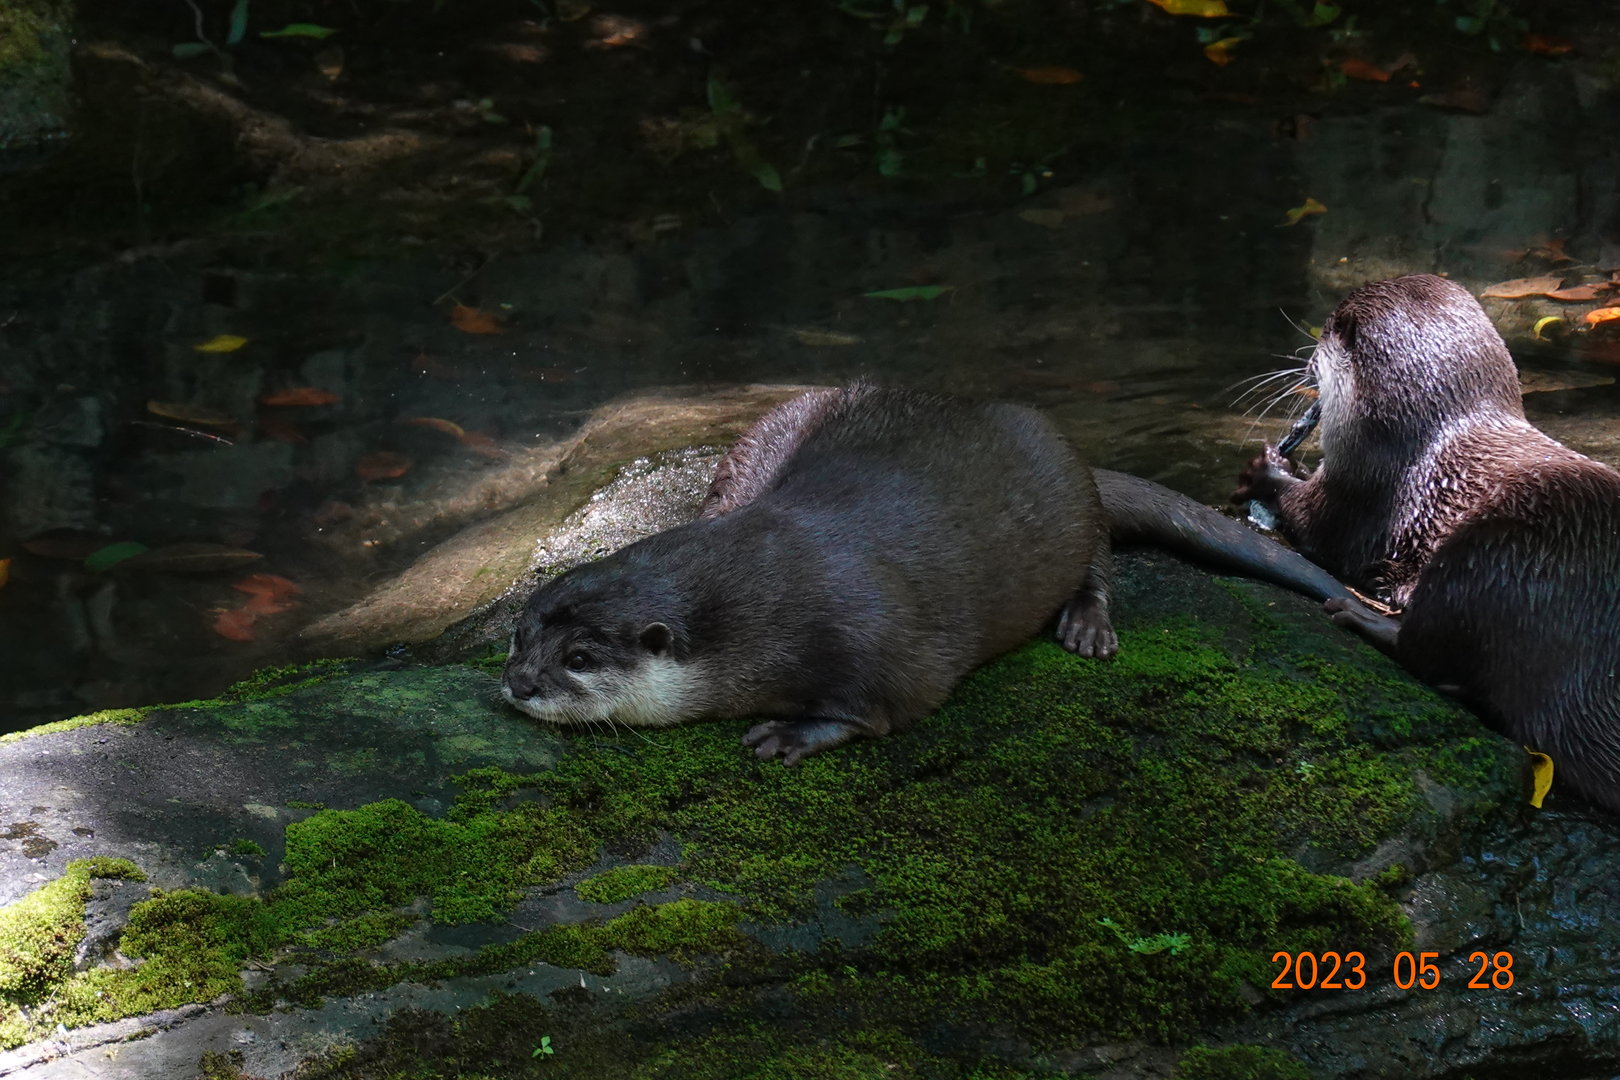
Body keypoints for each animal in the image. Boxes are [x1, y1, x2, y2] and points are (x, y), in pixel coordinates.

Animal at [505, 383, 1352, 764]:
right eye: (517, 634)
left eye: (579, 657)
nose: (518, 683)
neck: (759, 596)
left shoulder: (872, 641)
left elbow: (883, 710)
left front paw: (787, 733)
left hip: (1070, 501)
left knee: (1099, 559)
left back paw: (1087, 626)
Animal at [1235, 274, 1620, 811]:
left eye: (1325, 333)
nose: (1307, 364)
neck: (1419, 430)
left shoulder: (1359, 486)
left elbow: (1315, 522)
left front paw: (1266, 471)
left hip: (1488, 559)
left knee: (1429, 653)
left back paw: (1362, 616)